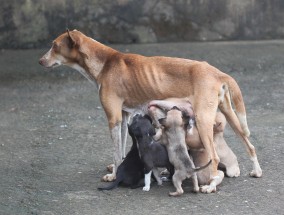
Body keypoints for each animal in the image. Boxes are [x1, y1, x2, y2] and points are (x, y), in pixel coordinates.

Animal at [39, 29, 262, 192]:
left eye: (54, 46)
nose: (40, 61)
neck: (105, 63)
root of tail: (216, 72)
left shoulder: (113, 118)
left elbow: (116, 152)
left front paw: (114, 175)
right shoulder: (124, 117)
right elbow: (120, 149)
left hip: (203, 120)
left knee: (215, 158)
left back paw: (210, 186)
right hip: (230, 116)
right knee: (250, 145)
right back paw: (256, 171)